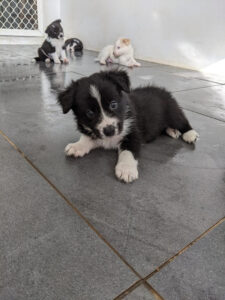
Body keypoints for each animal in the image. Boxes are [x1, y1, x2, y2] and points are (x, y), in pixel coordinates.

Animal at [58, 70, 199, 183]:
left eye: (113, 104)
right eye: (90, 113)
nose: (109, 131)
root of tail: (162, 90)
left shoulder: (133, 133)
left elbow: (128, 152)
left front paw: (126, 169)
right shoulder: (96, 132)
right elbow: (88, 137)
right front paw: (77, 146)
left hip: (172, 111)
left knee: (182, 121)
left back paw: (189, 134)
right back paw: (172, 131)